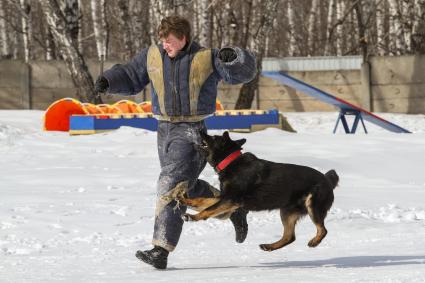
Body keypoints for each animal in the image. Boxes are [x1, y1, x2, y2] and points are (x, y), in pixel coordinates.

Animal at [176, 132, 338, 252]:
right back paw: (269, 246)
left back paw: (314, 242)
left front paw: (192, 216)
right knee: (289, 237)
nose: (200, 129)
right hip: (287, 211)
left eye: (213, 137)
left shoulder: (231, 199)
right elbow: (203, 200)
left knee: (322, 230)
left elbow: (208, 209)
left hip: (313, 205)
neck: (231, 162)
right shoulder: (226, 198)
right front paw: (186, 200)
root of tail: (327, 181)